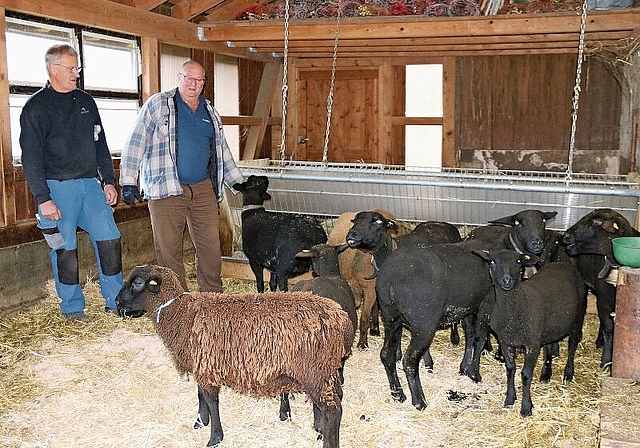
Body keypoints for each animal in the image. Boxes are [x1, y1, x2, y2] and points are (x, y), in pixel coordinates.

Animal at [116, 264, 356, 448]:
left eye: (138, 283)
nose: (117, 303)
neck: (180, 313)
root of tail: (341, 318)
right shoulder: (202, 364)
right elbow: (200, 395)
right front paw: (200, 421)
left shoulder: (206, 366)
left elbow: (211, 400)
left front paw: (215, 437)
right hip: (324, 371)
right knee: (335, 399)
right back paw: (320, 430)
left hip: (314, 371)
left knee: (333, 409)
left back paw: (328, 440)